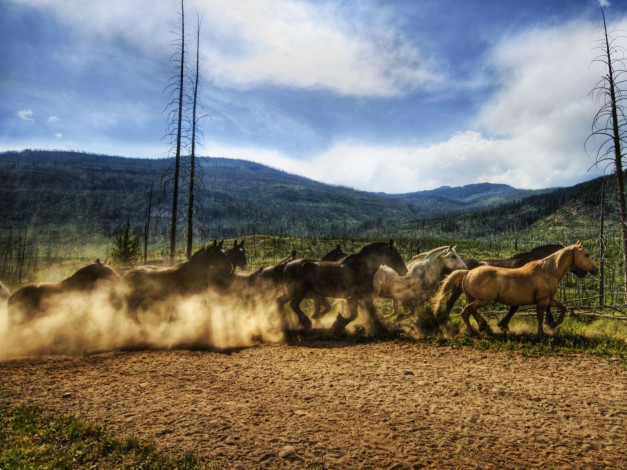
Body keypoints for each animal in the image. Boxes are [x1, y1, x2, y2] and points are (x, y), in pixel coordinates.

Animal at [280, 242, 408, 334]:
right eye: (394, 254)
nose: (404, 270)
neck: (360, 268)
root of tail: (287, 265)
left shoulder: (361, 297)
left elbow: (368, 314)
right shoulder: (356, 297)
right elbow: (356, 315)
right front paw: (337, 324)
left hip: (292, 292)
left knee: (281, 302)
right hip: (299, 292)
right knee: (293, 305)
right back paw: (306, 322)